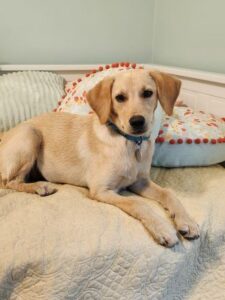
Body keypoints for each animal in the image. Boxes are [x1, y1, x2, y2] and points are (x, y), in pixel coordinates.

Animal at [0, 69, 200, 246]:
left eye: (148, 93)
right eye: (120, 97)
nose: (137, 122)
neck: (128, 143)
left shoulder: (139, 182)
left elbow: (169, 193)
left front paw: (187, 221)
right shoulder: (101, 190)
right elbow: (137, 203)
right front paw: (162, 228)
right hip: (30, 134)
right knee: (10, 182)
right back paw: (39, 186)